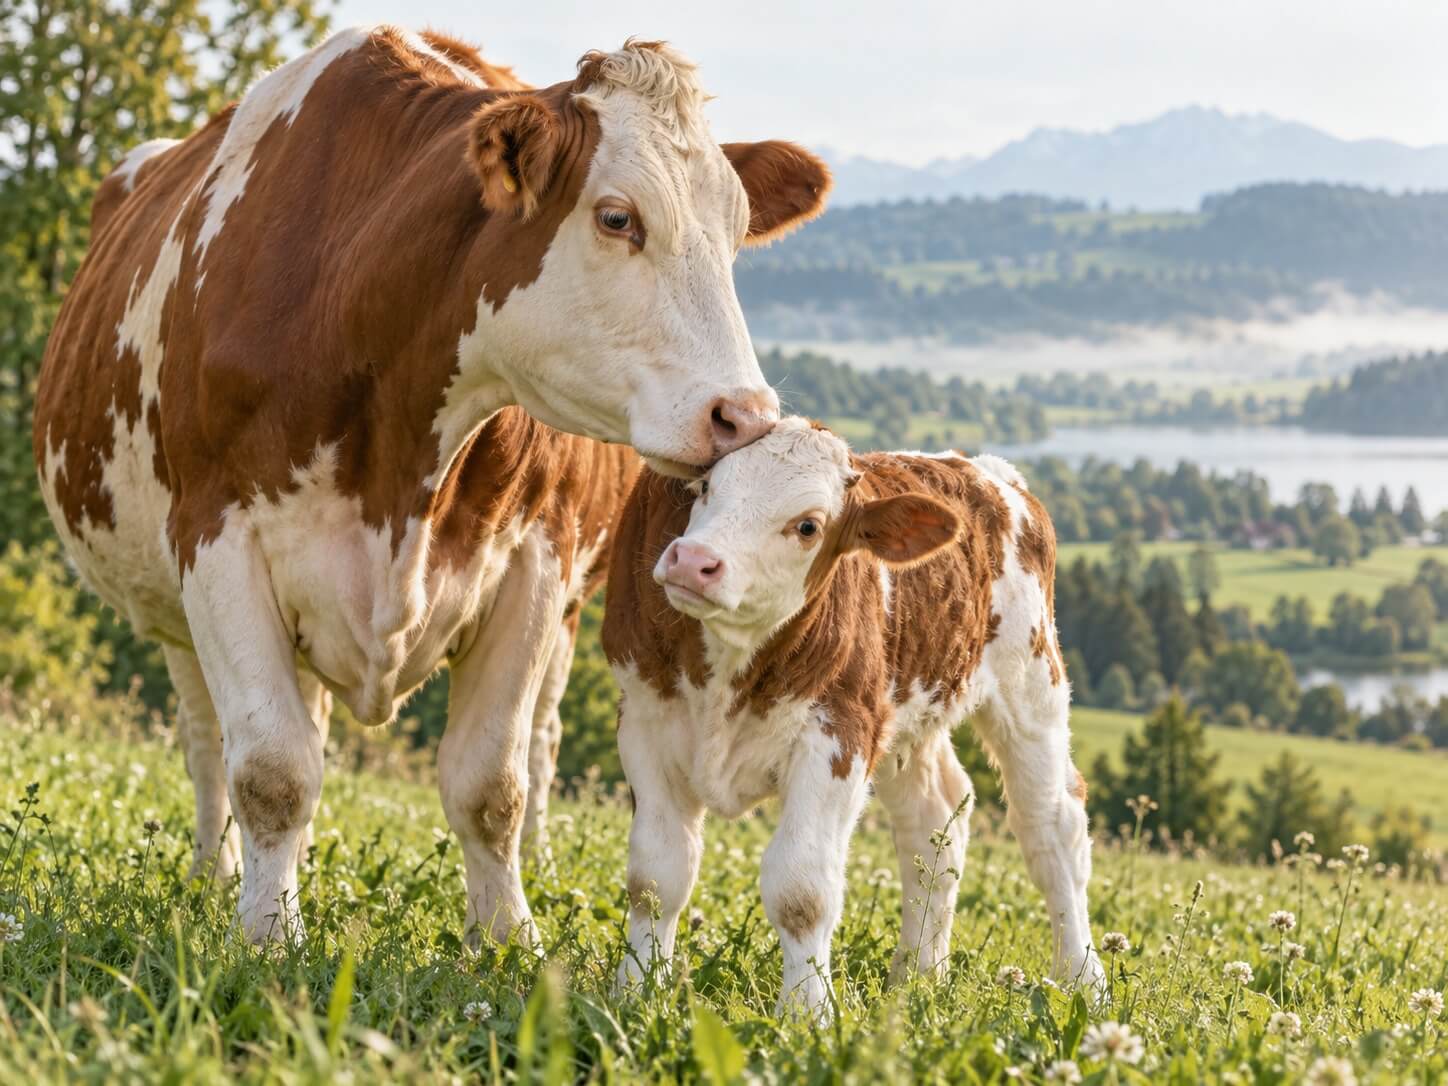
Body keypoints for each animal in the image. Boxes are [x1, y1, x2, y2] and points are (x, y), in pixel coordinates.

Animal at [33, 26, 831, 947]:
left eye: (736, 234)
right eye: (617, 216)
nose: (746, 415)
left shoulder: (534, 561)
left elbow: (491, 785)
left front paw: (509, 938)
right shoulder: (217, 540)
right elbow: (271, 767)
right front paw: (268, 933)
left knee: (539, 743)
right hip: (171, 606)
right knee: (208, 737)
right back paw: (216, 870)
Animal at [602, 418, 1106, 1016]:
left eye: (808, 525)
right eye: (706, 487)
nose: (692, 561)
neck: (727, 670)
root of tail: (985, 469)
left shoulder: (839, 734)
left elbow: (802, 891)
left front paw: (804, 1013)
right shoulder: (645, 722)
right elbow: (656, 876)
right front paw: (635, 994)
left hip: (1031, 682)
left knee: (1052, 827)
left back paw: (1083, 981)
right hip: (910, 714)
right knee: (935, 820)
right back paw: (917, 976)